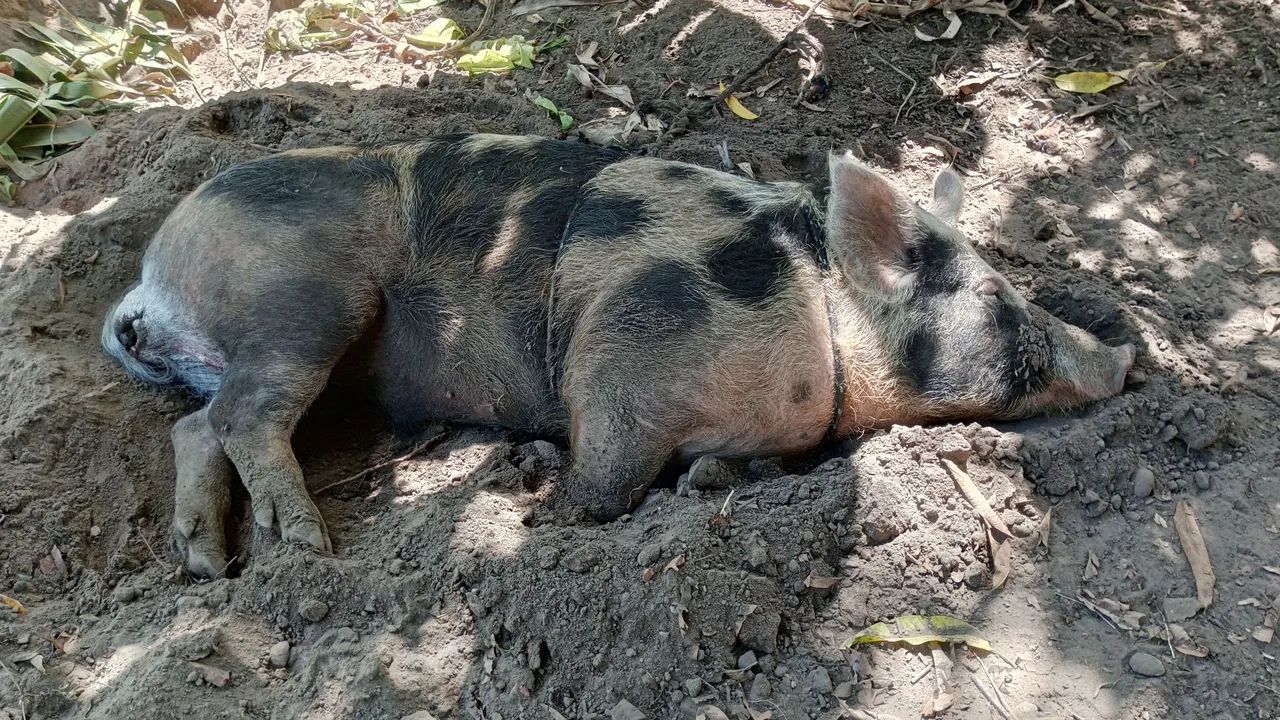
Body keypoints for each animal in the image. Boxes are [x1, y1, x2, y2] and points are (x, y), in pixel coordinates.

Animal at [102, 134, 1135, 577]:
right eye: (997, 303)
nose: (1124, 353)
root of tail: (153, 271)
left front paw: (712, 480)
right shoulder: (623, 359)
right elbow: (605, 475)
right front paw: (544, 511)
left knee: (199, 425)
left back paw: (205, 562)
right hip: (302, 298)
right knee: (245, 415)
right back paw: (300, 545)